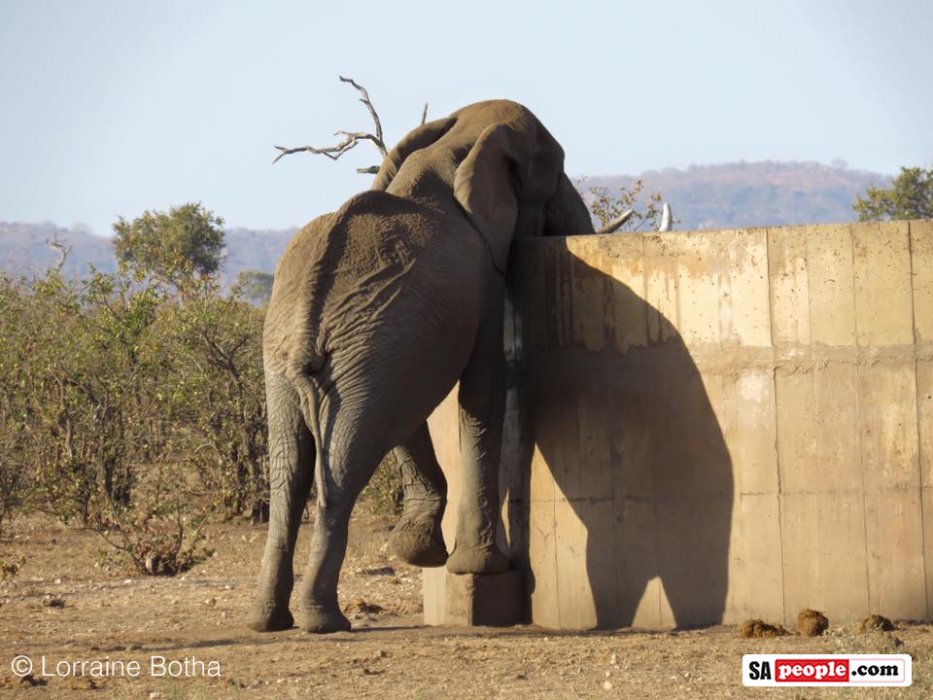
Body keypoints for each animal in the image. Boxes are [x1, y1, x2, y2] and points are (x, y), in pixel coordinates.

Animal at [246, 99, 609, 634]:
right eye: (557, 172)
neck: (451, 150)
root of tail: (309, 315)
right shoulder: (482, 278)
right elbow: (481, 393)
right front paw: (479, 569)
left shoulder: (403, 345)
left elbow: (411, 409)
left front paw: (420, 552)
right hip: (349, 355)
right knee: (345, 464)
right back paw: (324, 621)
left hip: (296, 356)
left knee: (291, 467)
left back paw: (266, 620)